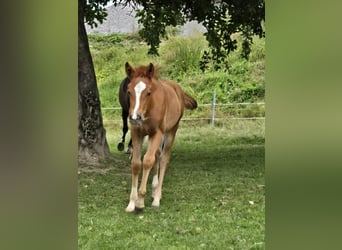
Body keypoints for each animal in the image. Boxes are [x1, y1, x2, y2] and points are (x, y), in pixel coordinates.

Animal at [124, 61, 196, 212]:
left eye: (148, 93)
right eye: (129, 91)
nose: (135, 117)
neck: (149, 108)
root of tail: (178, 89)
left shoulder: (157, 133)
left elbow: (147, 161)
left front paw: (140, 201)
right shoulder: (137, 132)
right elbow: (136, 163)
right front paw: (132, 202)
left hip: (171, 131)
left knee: (164, 158)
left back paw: (157, 197)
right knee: (157, 155)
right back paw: (154, 188)